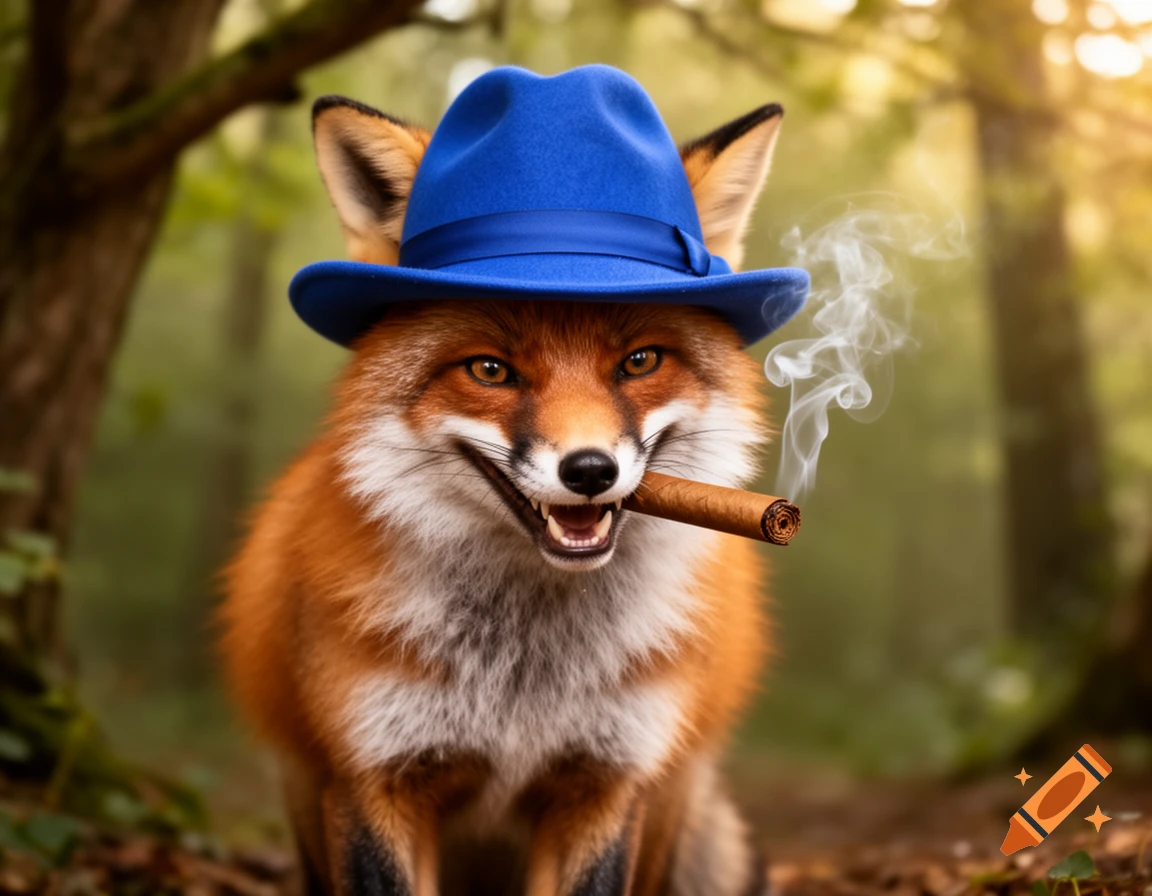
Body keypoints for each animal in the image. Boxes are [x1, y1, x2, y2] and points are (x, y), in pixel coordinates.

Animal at [220, 85, 787, 896]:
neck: (523, 679)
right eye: (490, 370)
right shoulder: (373, 777)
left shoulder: (606, 782)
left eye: (639, 361)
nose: (590, 471)